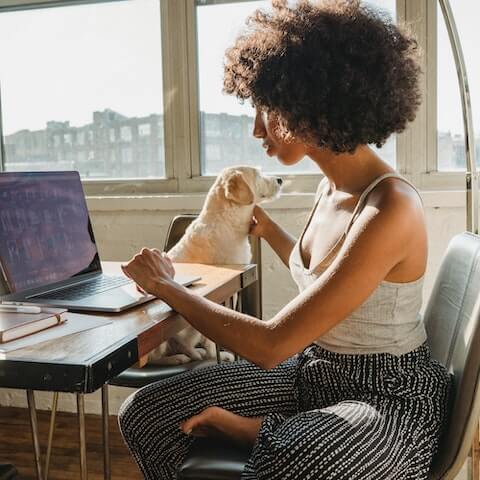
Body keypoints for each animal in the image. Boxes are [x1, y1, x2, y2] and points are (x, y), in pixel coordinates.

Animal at [147, 165, 282, 364]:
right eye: (258, 175)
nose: (280, 179)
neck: (229, 220)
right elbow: (214, 337)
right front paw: (216, 353)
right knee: (152, 359)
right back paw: (178, 359)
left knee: (183, 345)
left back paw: (193, 353)